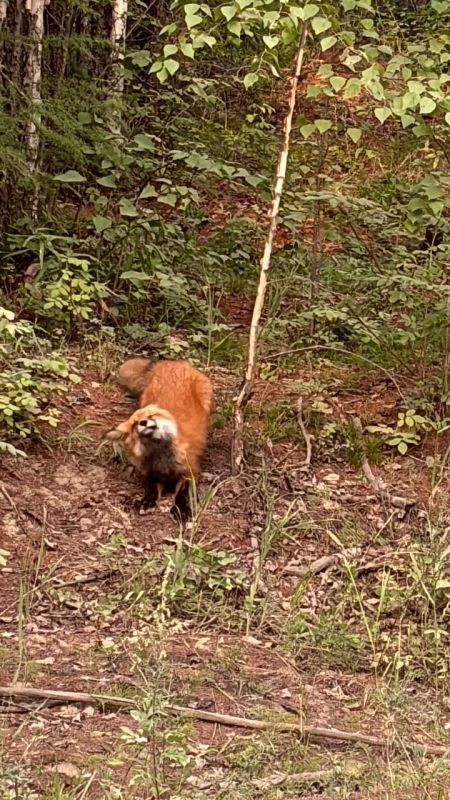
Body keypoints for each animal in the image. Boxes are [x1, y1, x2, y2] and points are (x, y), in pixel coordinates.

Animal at [105, 360, 213, 520]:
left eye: (150, 416)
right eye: (134, 424)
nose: (143, 422)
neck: (163, 459)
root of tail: (171, 362)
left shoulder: (190, 471)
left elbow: (183, 494)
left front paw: (182, 509)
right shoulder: (153, 474)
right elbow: (152, 490)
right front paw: (146, 502)